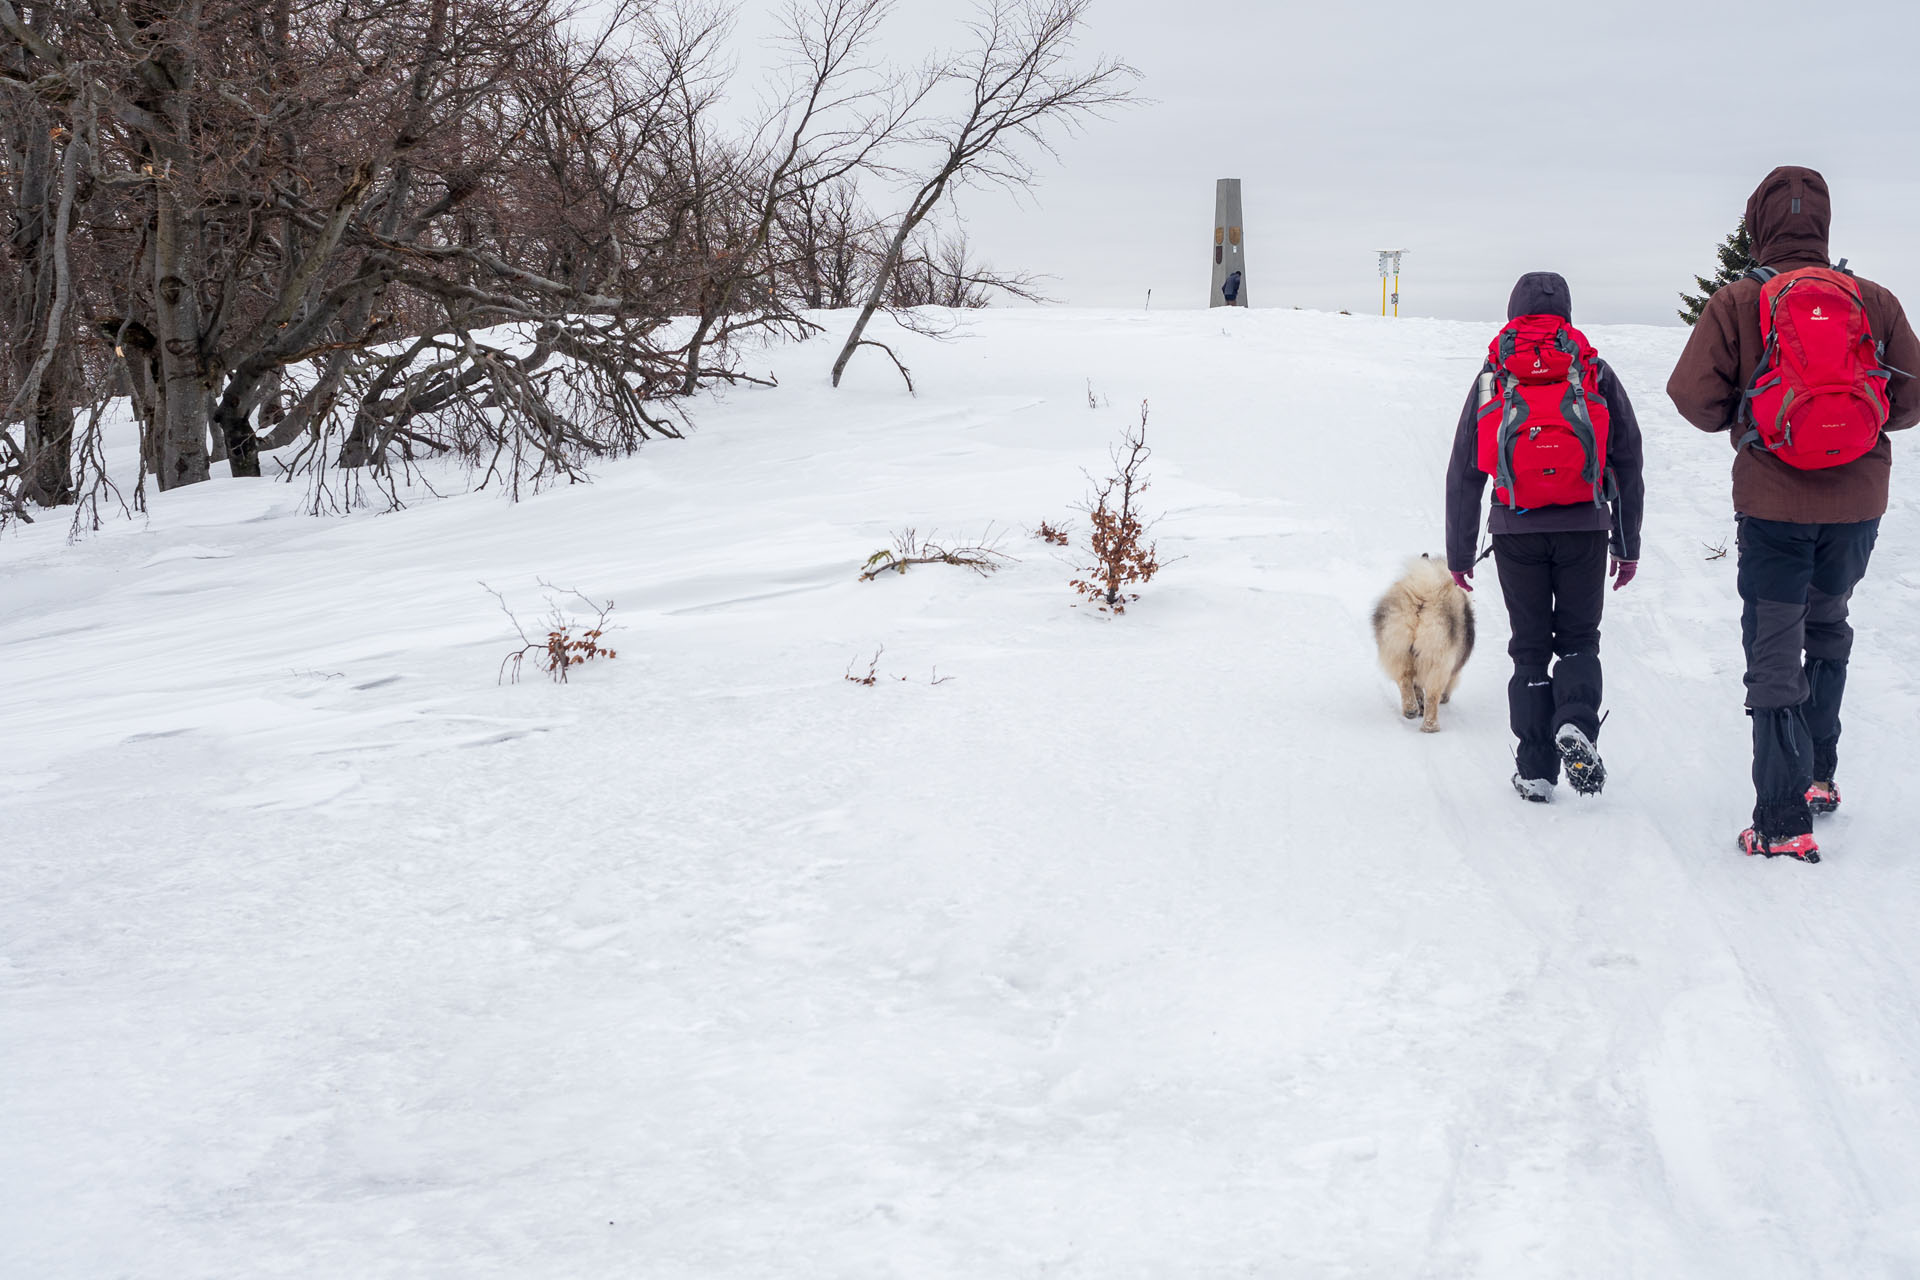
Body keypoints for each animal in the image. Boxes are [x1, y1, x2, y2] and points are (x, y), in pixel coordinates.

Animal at [1367, 556, 1466, 736]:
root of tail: (1422, 601)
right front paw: (1444, 698)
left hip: (1397, 646)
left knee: (1404, 679)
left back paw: (1411, 709)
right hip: (1437, 656)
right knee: (1432, 695)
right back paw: (1430, 726)